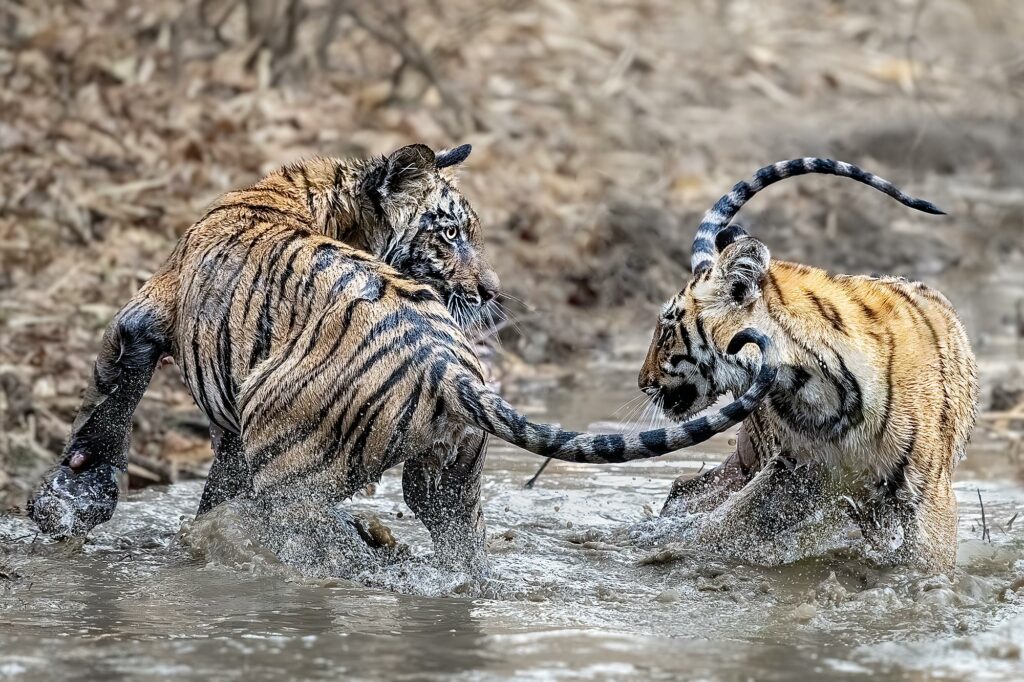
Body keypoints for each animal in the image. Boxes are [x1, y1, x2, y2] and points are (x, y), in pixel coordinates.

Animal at [634, 157, 978, 569]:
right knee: (687, 489)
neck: (811, 385)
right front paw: (672, 550)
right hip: (751, 457)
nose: (642, 383)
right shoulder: (792, 471)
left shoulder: (927, 495)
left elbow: (927, 563)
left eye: (667, 329)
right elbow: (723, 525)